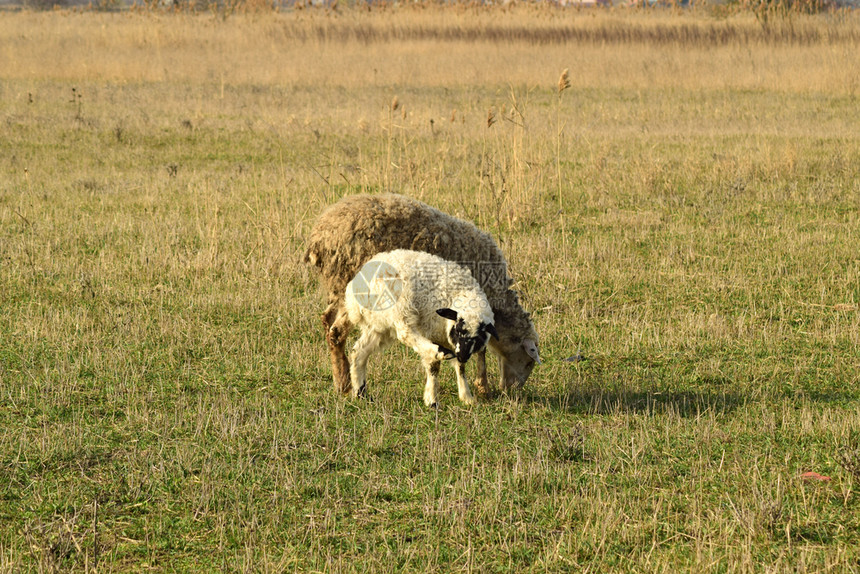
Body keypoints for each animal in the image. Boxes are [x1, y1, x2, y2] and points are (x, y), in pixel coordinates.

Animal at [346, 250, 500, 408]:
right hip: (399, 303)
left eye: (478, 337)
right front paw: (432, 399)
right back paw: (441, 352)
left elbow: (460, 368)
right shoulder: (430, 331)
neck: (459, 292)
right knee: (405, 332)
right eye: (458, 330)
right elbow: (434, 366)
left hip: (379, 325)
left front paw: (466, 397)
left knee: (358, 352)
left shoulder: (451, 342)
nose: (462, 355)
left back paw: (361, 394)